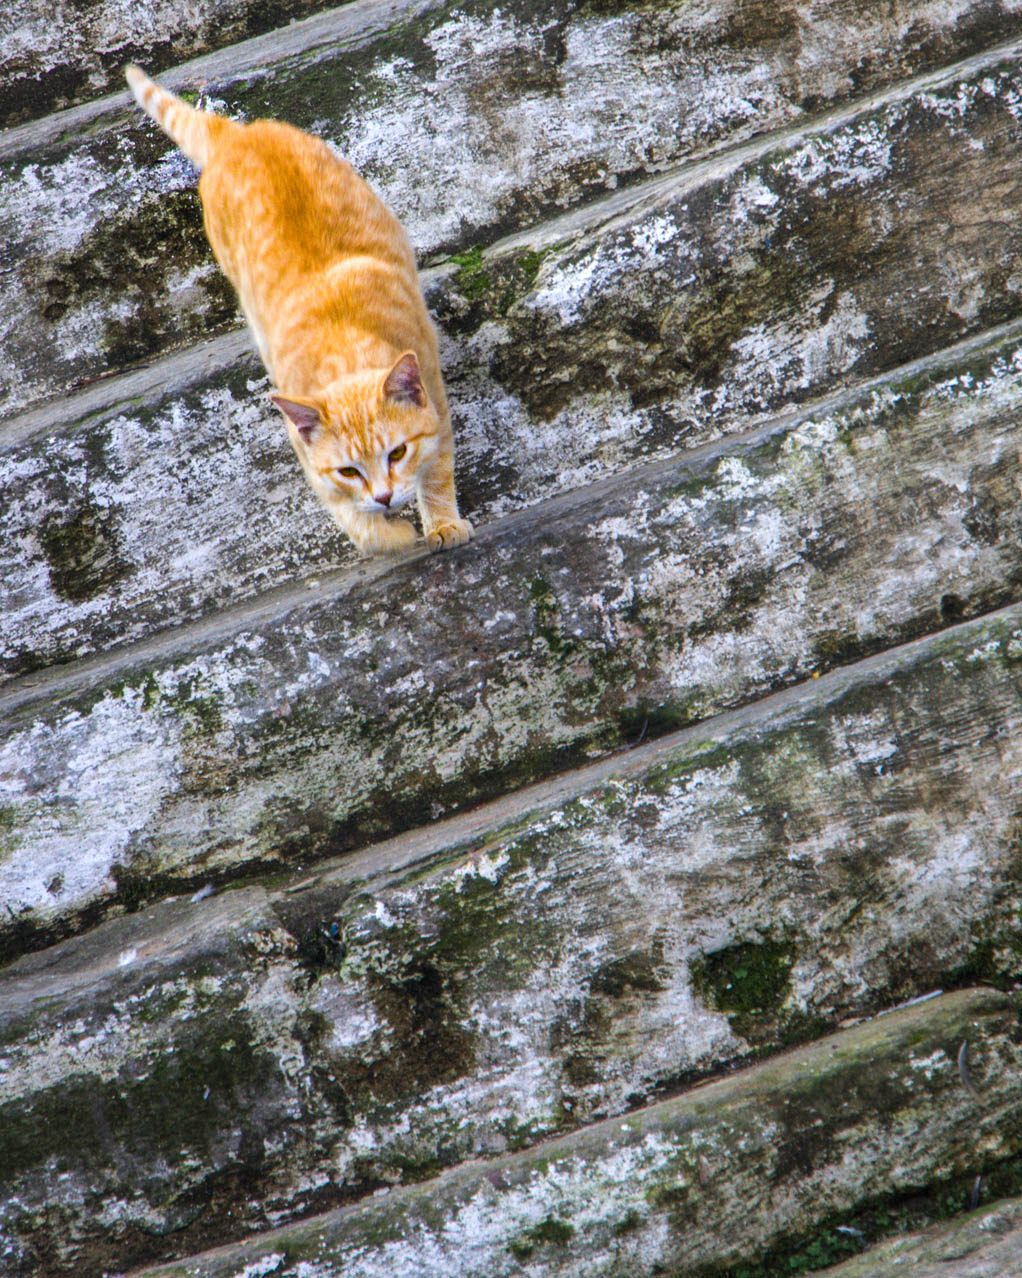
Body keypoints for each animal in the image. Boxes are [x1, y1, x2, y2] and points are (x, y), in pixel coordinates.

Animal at [126, 63, 475, 554]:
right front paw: (391, 535)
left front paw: (442, 523)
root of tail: (237, 135)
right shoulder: (305, 449)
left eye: (398, 453)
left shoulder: (436, 405)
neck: (345, 343)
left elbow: (439, 471)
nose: (385, 498)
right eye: (349, 471)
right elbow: (349, 513)